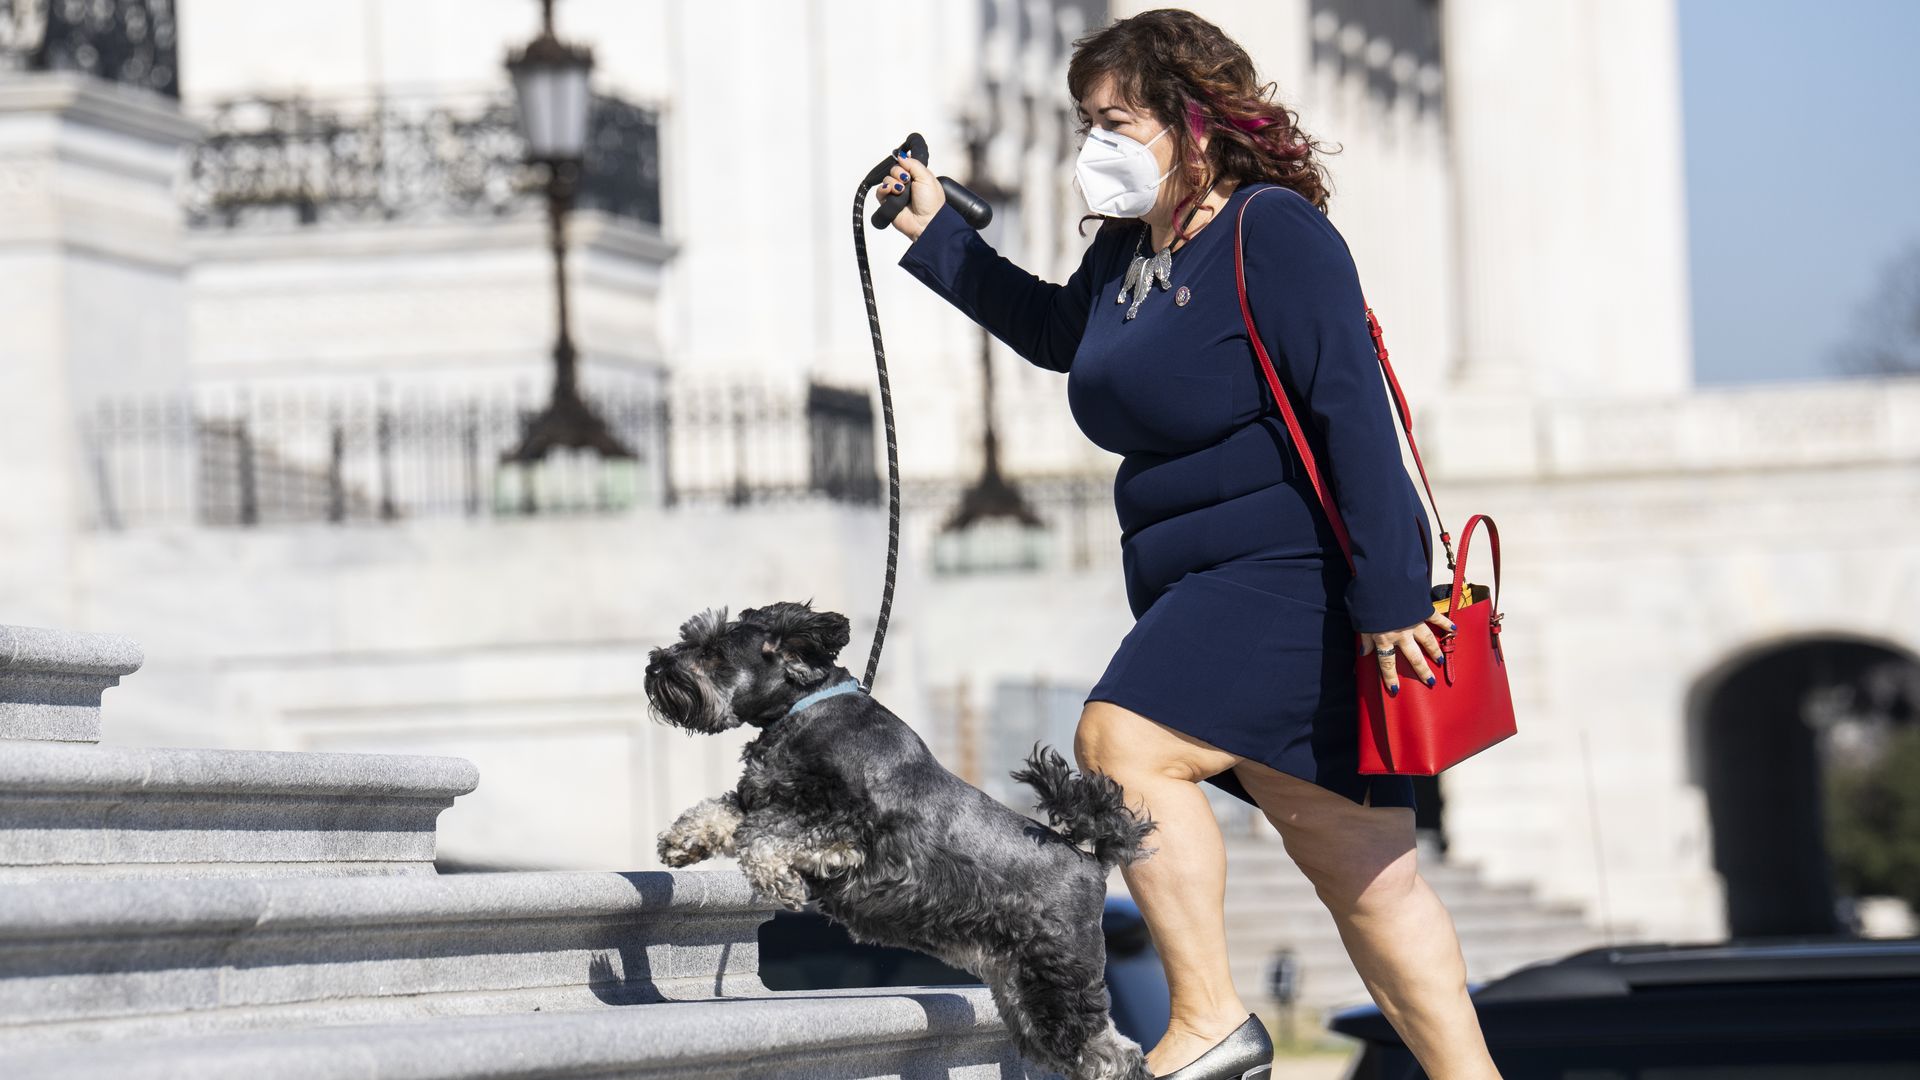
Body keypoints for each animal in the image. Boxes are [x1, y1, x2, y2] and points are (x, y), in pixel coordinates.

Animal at [641, 595, 1152, 1076]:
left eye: (714, 651)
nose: (654, 665)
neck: (808, 710)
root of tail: (1092, 862)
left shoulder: (845, 831)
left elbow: (763, 839)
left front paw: (778, 882)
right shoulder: (762, 801)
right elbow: (726, 815)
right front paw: (682, 841)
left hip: (1058, 979)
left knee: (1115, 1055)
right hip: (1021, 994)